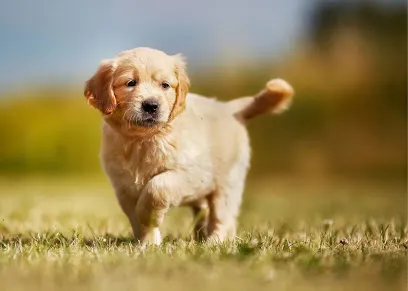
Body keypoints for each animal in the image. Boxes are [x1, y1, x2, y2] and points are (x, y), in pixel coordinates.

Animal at [84, 48, 294, 246]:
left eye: (165, 85)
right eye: (130, 83)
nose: (151, 105)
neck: (143, 139)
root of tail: (228, 108)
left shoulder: (190, 173)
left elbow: (157, 187)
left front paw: (149, 217)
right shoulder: (123, 188)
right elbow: (136, 219)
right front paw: (148, 244)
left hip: (227, 183)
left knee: (222, 217)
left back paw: (214, 242)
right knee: (207, 213)